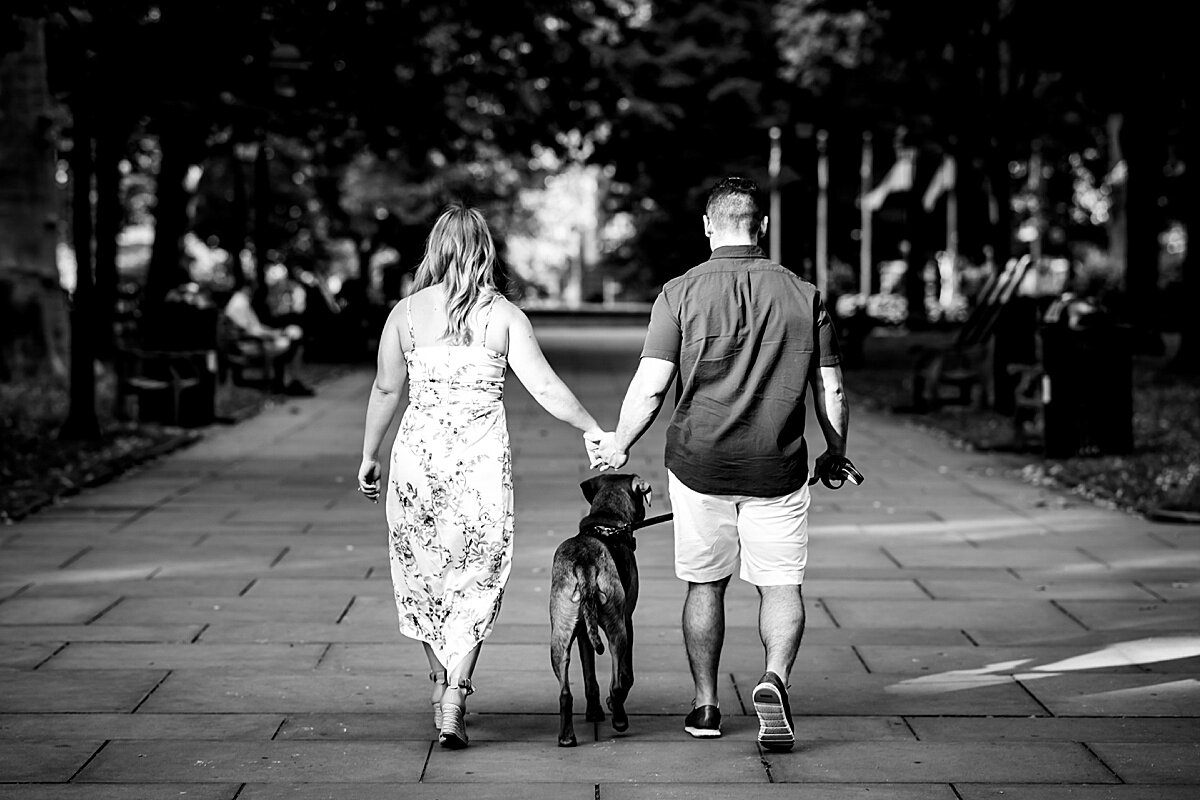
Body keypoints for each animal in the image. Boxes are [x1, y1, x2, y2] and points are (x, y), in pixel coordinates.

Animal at [549, 472, 652, 748]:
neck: (606, 521)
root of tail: (584, 564)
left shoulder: (584, 633)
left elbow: (589, 677)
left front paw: (594, 711)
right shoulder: (628, 620)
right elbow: (626, 675)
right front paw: (609, 706)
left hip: (560, 635)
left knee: (565, 692)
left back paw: (566, 737)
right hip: (617, 629)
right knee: (617, 681)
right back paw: (619, 719)